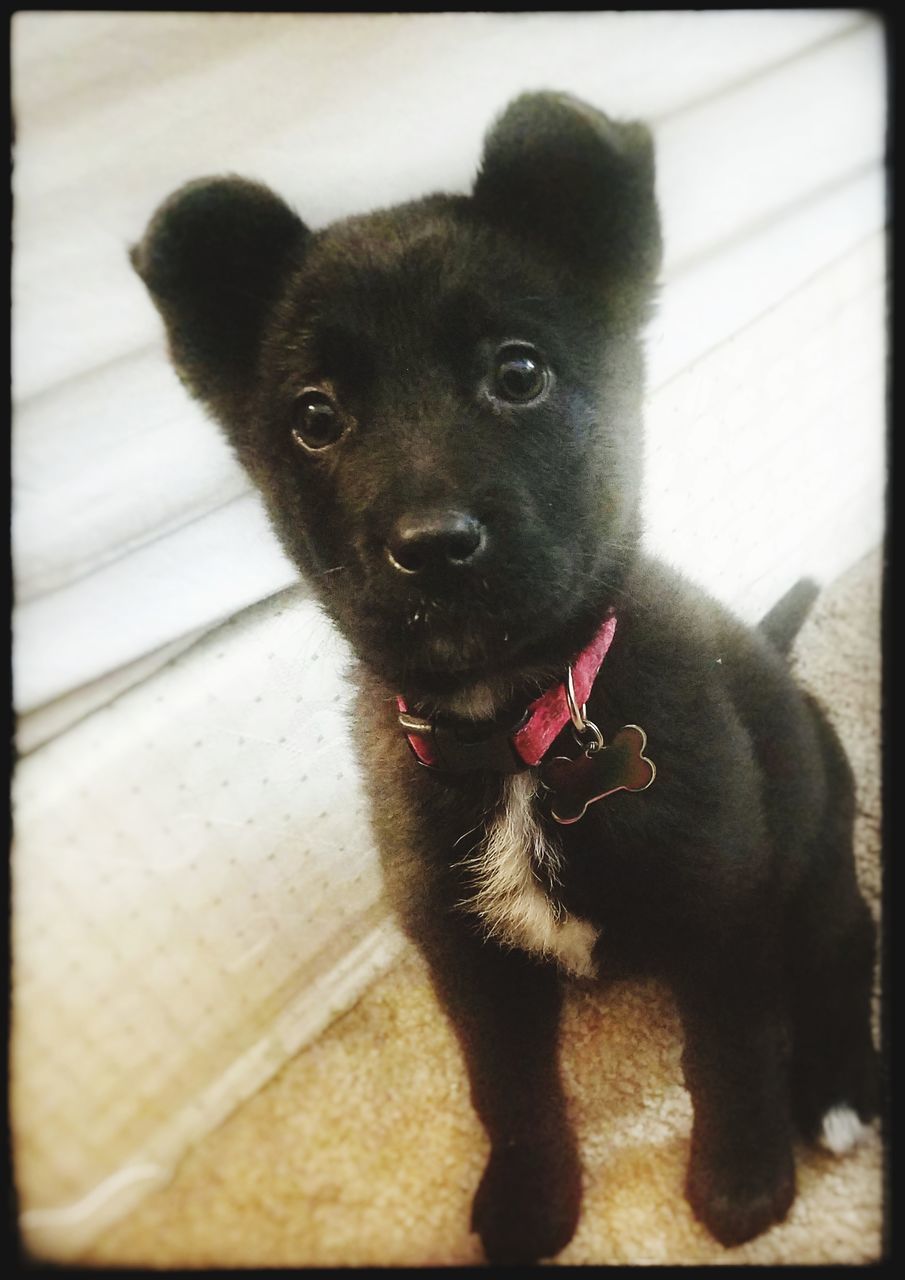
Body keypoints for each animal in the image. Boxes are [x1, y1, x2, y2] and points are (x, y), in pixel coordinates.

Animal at [131, 94, 880, 1264]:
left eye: (518, 373)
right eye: (314, 416)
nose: (432, 546)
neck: (518, 724)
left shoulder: (722, 911)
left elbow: (730, 1053)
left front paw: (740, 1179)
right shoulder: (466, 958)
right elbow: (509, 1092)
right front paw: (530, 1201)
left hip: (806, 850)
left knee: (847, 942)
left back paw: (839, 1085)